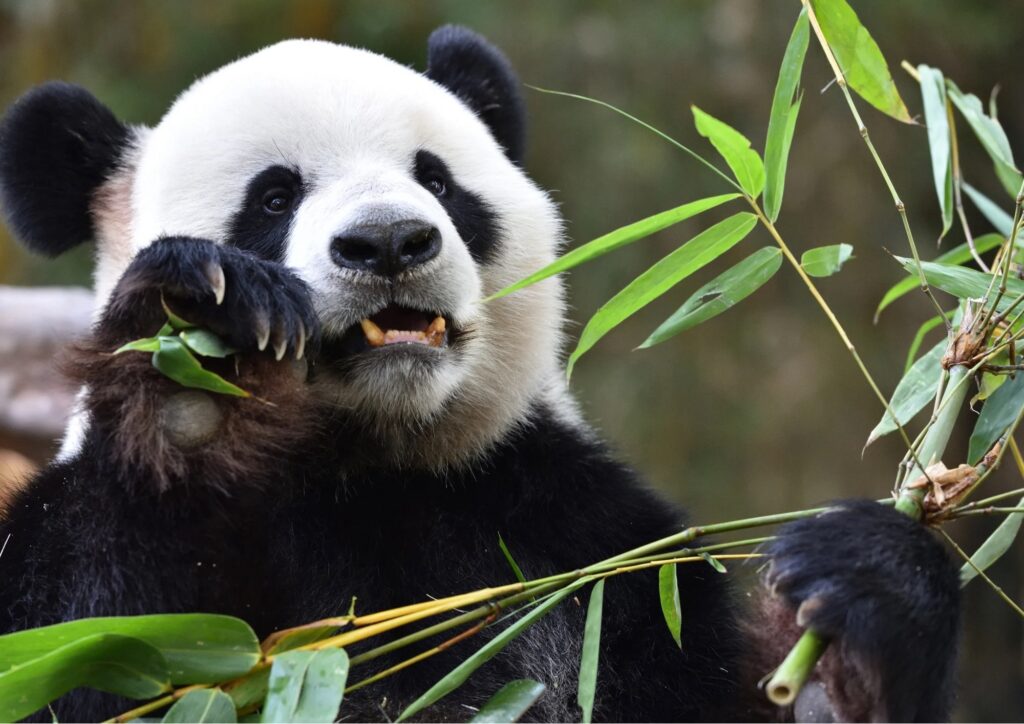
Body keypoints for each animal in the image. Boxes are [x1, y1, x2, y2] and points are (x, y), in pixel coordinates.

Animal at [0, 27, 960, 722]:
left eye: (437, 180)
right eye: (274, 196)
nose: (390, 241)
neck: (364, 461)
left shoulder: (571, 535)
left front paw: (861, 617)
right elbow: (81, 646)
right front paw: (194, 382)